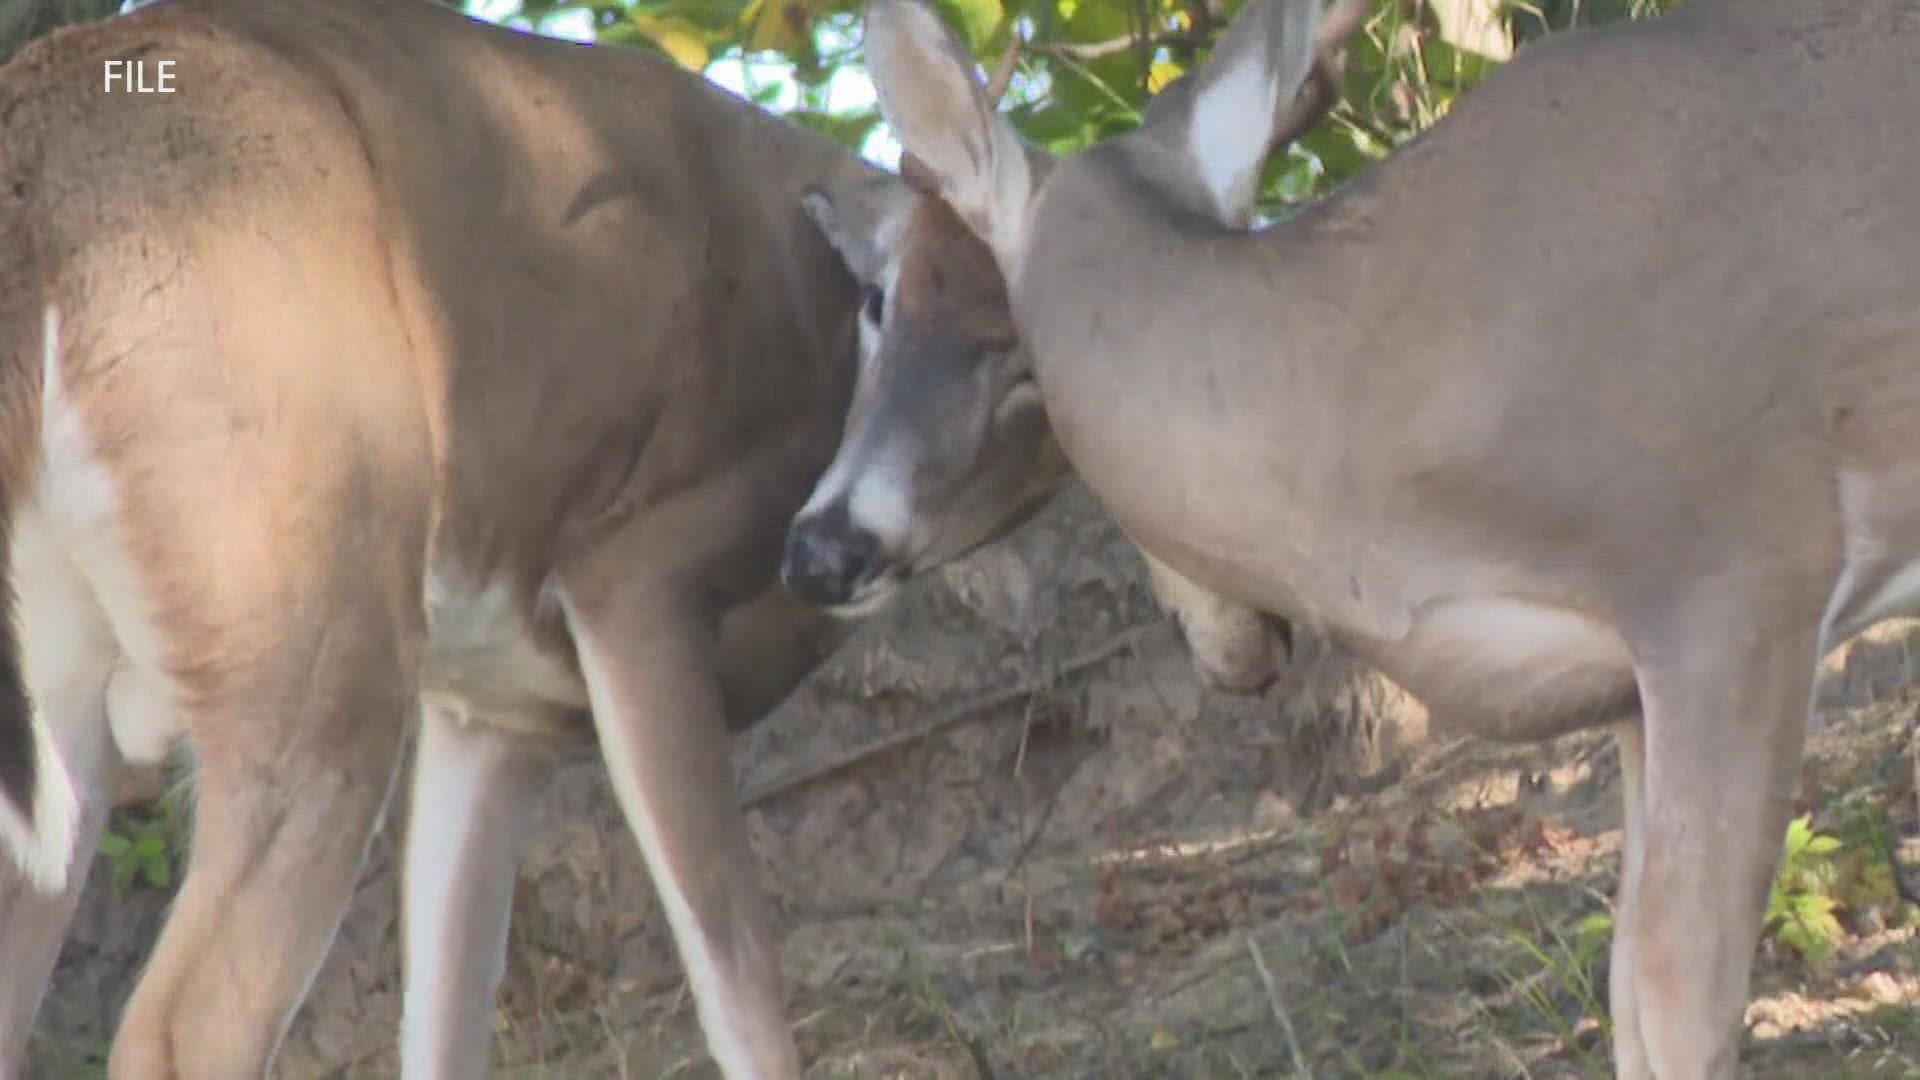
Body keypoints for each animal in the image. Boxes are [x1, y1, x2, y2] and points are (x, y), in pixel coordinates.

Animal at [0, 2, 1052, 1076]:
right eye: (880, 300)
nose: (826, 549)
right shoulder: (636, 569)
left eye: (1032, 371)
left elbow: (447, 1017)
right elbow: (740, 978)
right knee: (184, 1021)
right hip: (309, 600)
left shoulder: (498, 705)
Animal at [775, 0, 1920, 1068]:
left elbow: (1682, 996)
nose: (821, 549)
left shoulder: (1737, 576)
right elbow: (1629, 985)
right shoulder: (1630, 681)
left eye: (1018, 363)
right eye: (876, 300)